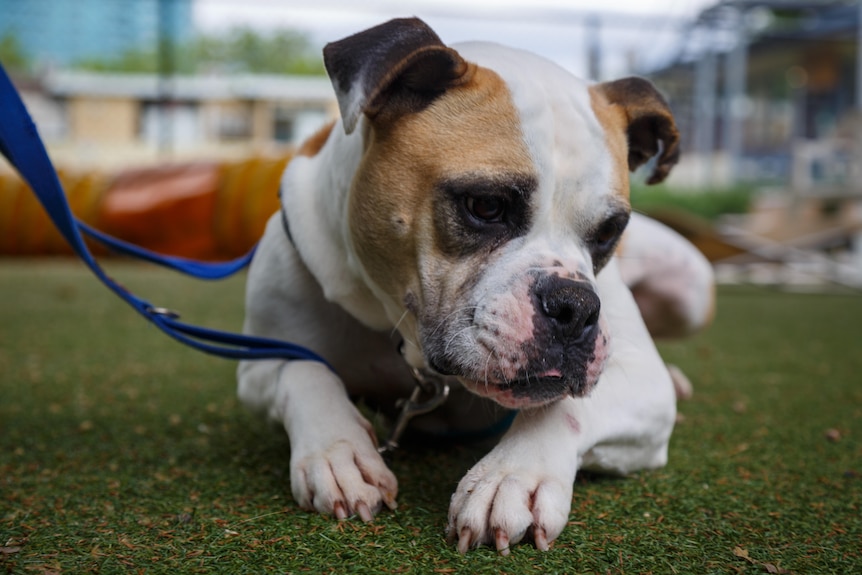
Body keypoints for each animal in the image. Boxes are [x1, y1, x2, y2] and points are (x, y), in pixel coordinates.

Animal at [236, 18, 716, 556]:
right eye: (485, 206)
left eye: (610, 231)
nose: (573, 306)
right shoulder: (258, 362)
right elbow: (304, 372)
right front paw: (337, 449)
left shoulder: (642, 386)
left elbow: (565, 409)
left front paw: (515, 474)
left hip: (692, 287)